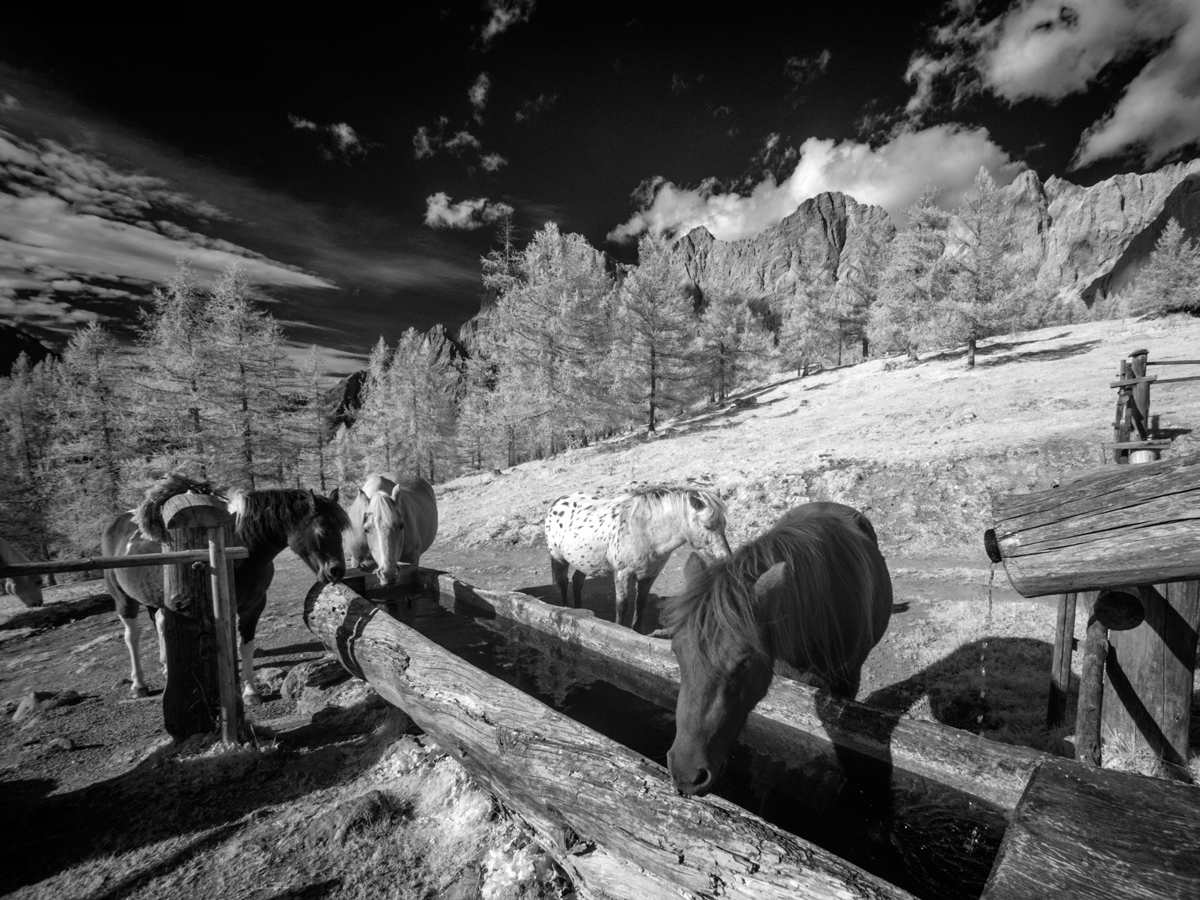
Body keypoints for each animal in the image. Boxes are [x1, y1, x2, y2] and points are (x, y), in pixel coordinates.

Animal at [102, 472, 348, 705]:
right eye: (322, 531)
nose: (337, 571)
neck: (239, 547)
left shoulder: (254, 605)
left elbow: (246, 645)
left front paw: (250, 692)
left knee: (160, 624)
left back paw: (166, 667)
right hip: (124, 600)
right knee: (132, 637)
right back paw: (139, 684)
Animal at [544, 487, 729, 633]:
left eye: (724, 525)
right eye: (708, 526)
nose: (725, 558)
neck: (645, 531)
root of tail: (558, 502)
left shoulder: (649, 576)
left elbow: (640, 604)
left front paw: (637, 631)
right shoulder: (623, 574)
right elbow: (621, 605)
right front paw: (619, 629)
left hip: (583, 562)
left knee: (576, 582)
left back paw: (580, 611)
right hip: (559, 559)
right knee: (563, 584)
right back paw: (566, 608)